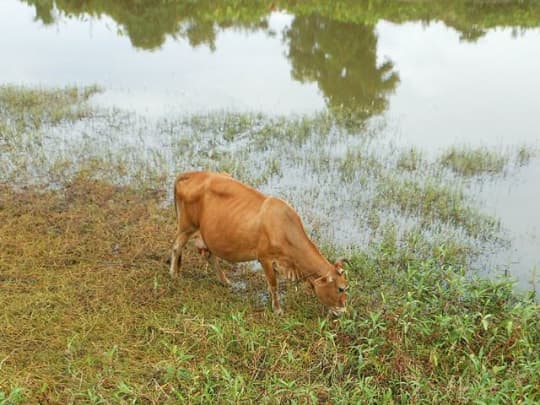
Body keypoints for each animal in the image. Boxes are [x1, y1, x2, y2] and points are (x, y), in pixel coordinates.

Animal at [169, 170, 348, 316]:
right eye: (340, 288)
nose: (343, 310)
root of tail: (193, 173)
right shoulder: (265, 258)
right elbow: (273, 284)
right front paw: (277, 309)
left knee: (210, 255)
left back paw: (225, 281)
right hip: (186, 226)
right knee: (177, 247)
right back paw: (174, 275)